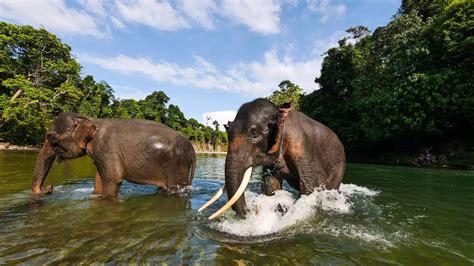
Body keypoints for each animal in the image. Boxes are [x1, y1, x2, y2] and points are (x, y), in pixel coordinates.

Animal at [31, 112, 195, 197]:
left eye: (51, 137)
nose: (49, 188)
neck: (91, 120)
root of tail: (192, 149)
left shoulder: (107, 148)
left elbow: (113, 178)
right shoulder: (100, 153)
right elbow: (99, 177)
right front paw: (96, 195)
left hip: (177, 166)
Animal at [199, 98, 344, 219]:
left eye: (255, 134)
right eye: (228, 133)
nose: (250, 210)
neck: (279, 113)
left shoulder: (304, 149)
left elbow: (310, 189)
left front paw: (283, 208)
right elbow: (272, 185)